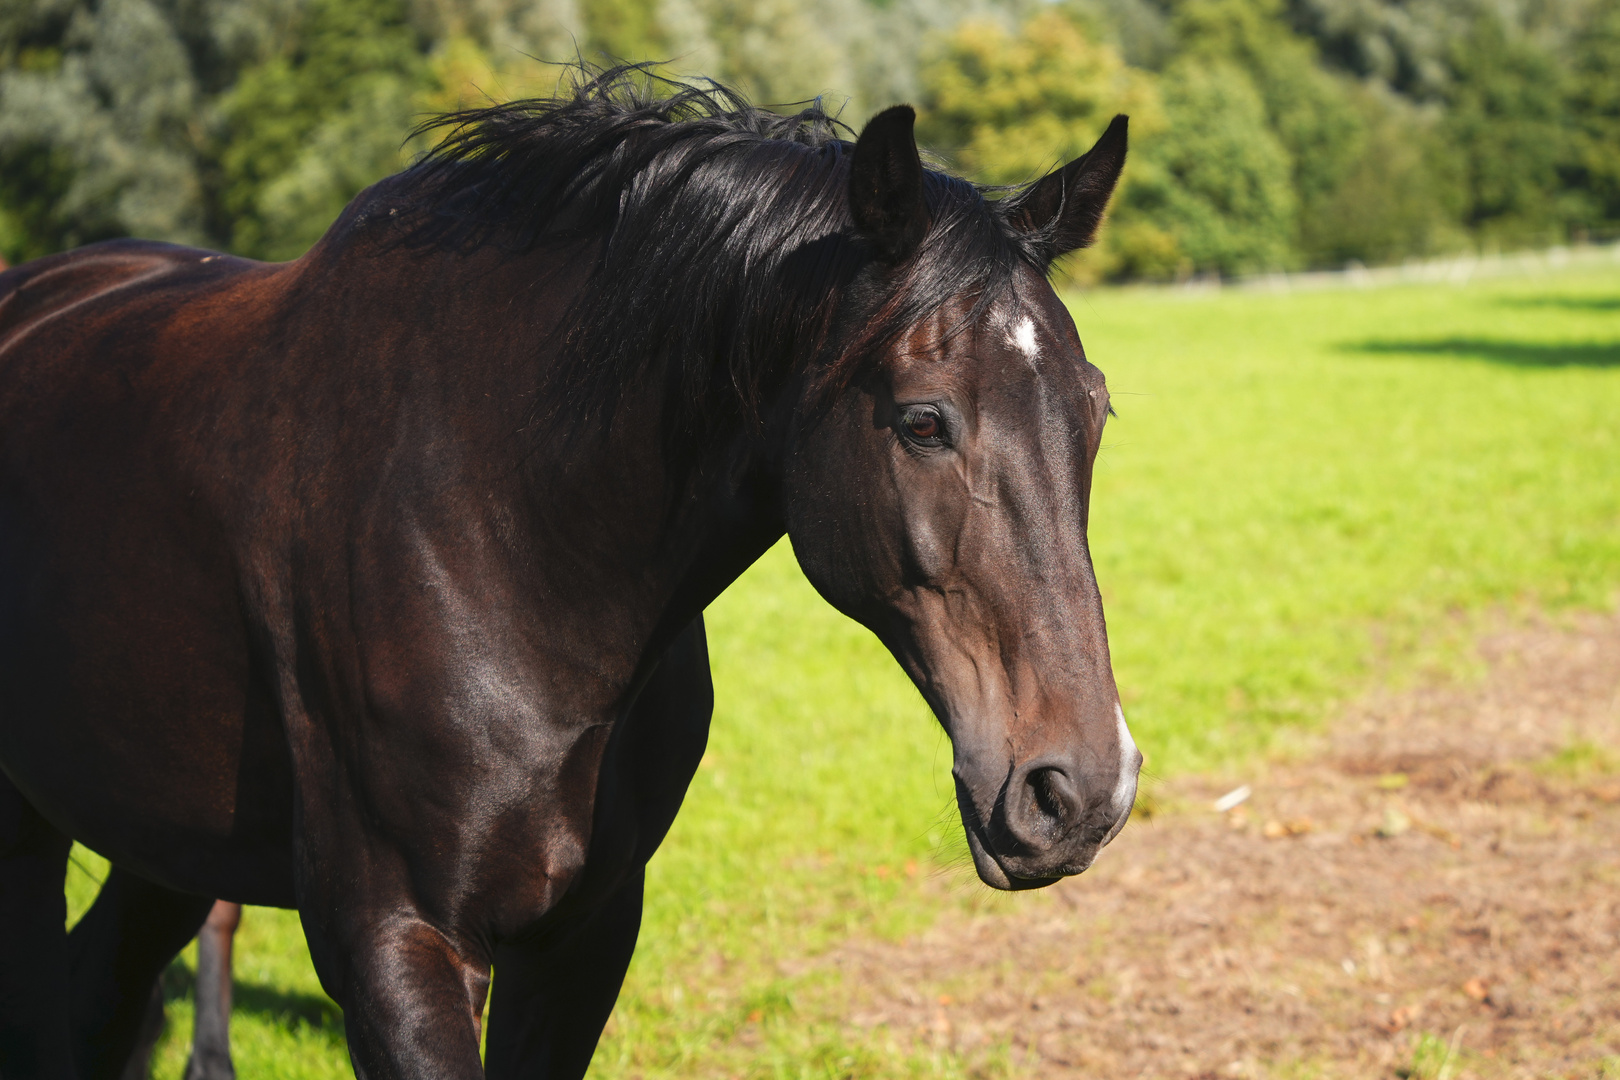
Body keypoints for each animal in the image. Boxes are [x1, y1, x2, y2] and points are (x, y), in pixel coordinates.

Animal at [0, 69, 1140, 1080]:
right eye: (923, 422)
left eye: (1096, 409)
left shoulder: (584, 935)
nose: (1082, 792)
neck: (503, 533)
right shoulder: (393, 941)